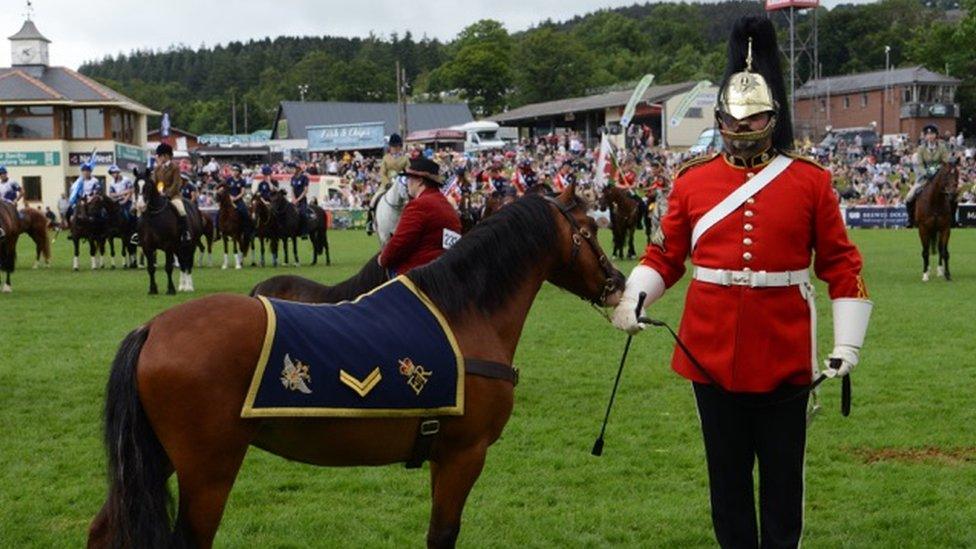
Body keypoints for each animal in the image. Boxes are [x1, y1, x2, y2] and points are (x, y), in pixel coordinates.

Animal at [91, 186, 624, 544]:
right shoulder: (463, 455)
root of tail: (152, 330)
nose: (618, 282)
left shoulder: (446, 456)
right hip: (207, 471)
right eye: (589, 228)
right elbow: (442, 535)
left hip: (155, 459)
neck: (465, 313)